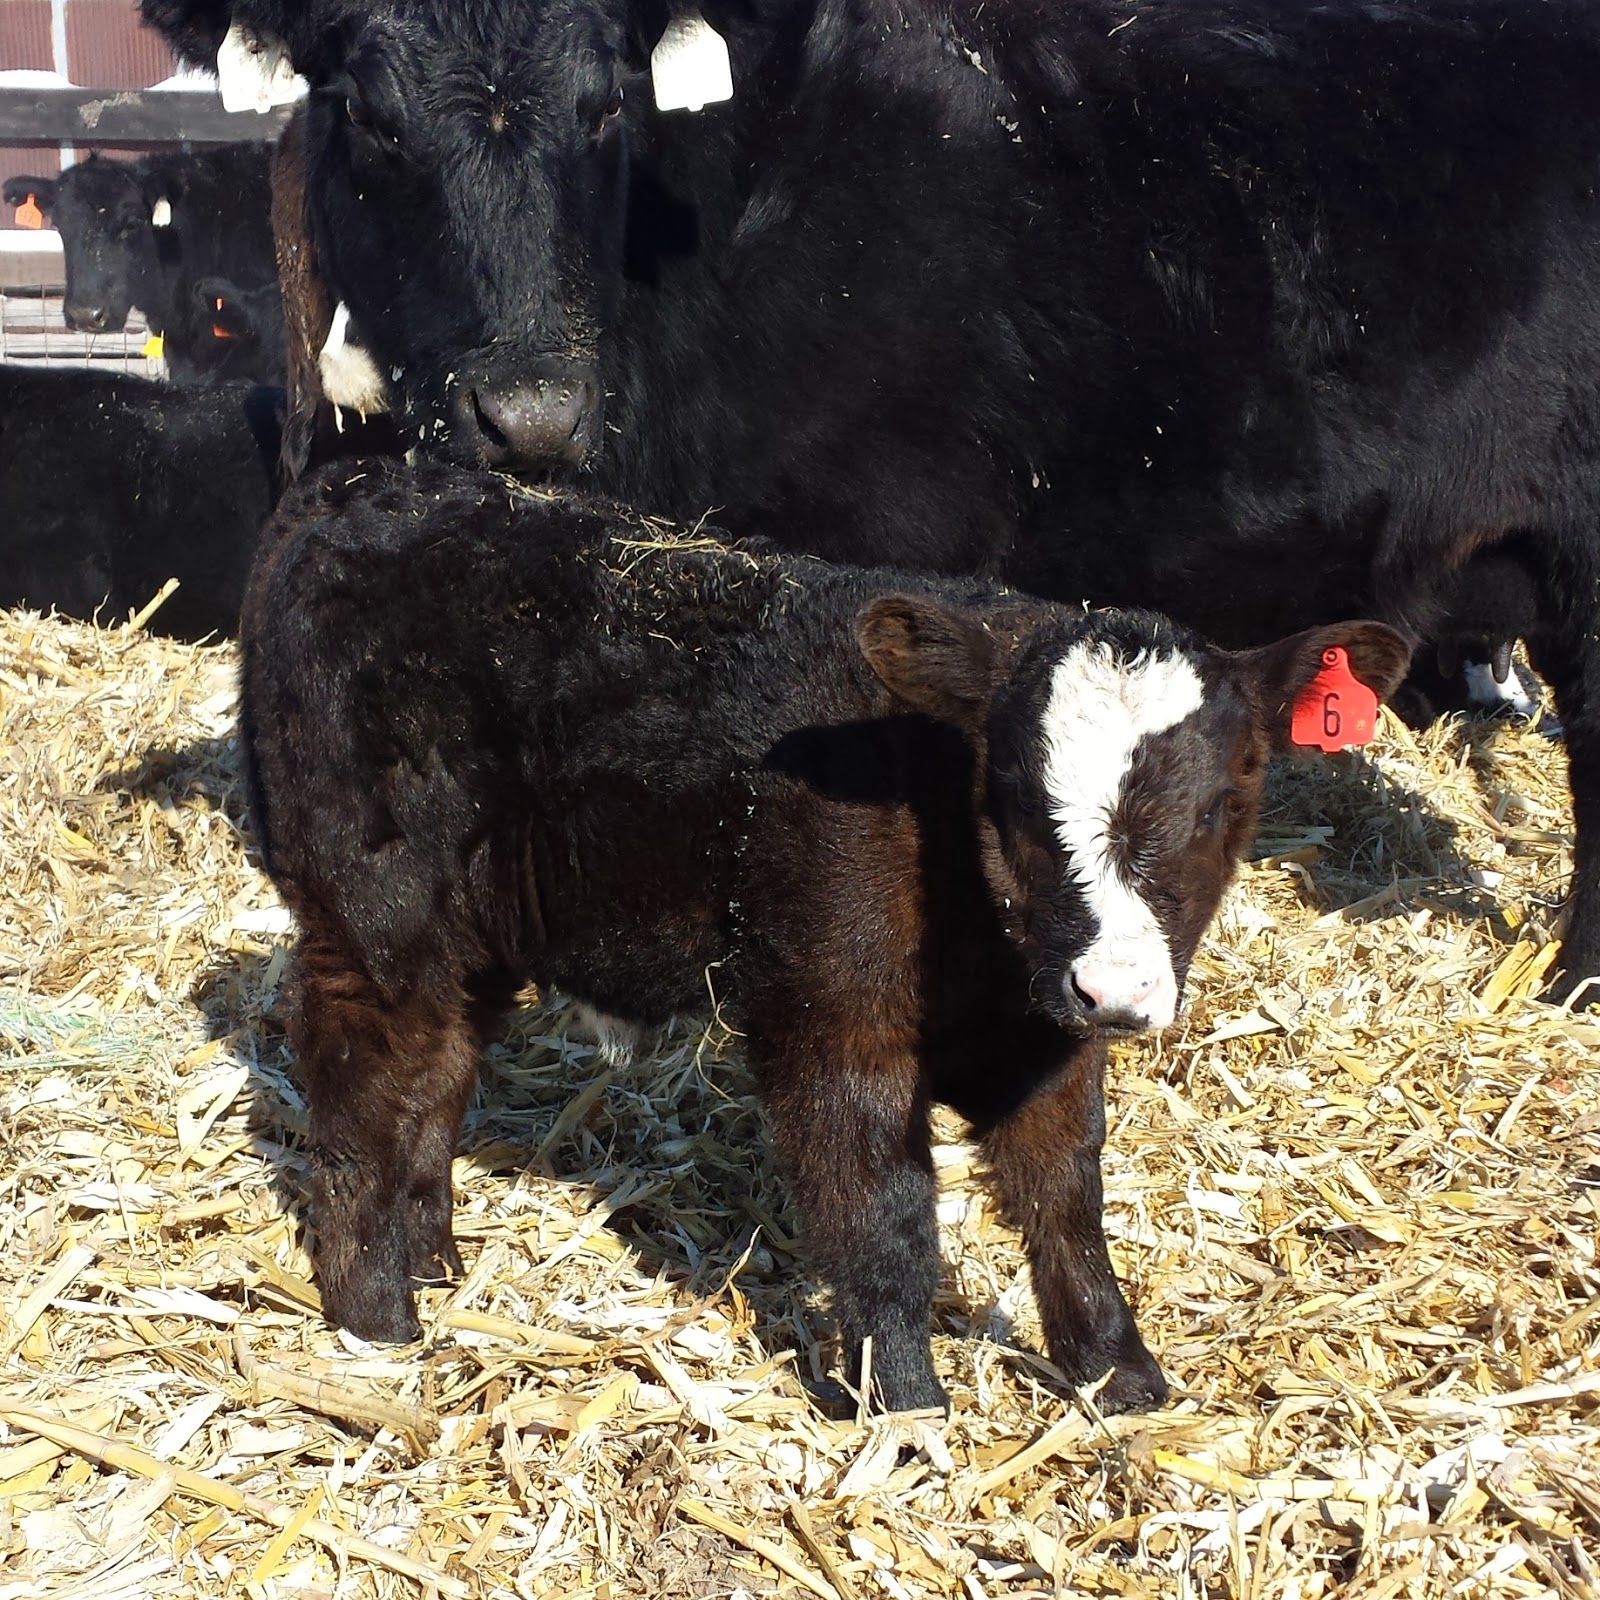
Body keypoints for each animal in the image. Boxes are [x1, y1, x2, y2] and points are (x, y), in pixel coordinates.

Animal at [239, 456, 1410, 1412]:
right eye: (1018, 800)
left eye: (1224, 803)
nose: (1117, 991)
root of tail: (364, 485)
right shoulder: (832, 1024)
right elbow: (883, 1211)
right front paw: (906, 1408)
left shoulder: (1047, 1036)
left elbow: (1064, 1192)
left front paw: (1117, 1373)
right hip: (372, 909)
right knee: (363, 1071)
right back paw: (378, 1315)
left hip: (473, 928)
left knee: (436, 1073)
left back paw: (432, 1256)